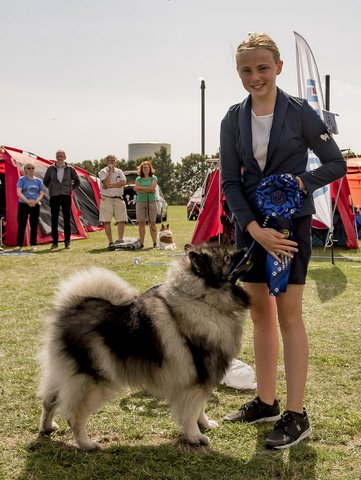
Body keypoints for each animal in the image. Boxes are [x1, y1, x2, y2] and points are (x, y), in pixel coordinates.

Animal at [37, 244, 250, 450]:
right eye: (226, 258)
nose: (246, 250)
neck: (202, 300)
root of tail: (70, 308)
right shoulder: (196, 379)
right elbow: (191, 412)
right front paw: (195, 436)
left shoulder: (203, 378)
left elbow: (200, 408)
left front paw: (205, 424)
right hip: (93, 381)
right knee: (74, 416)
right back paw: (86, 444)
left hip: (63, 373)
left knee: (48, 401)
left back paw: (47, 427)